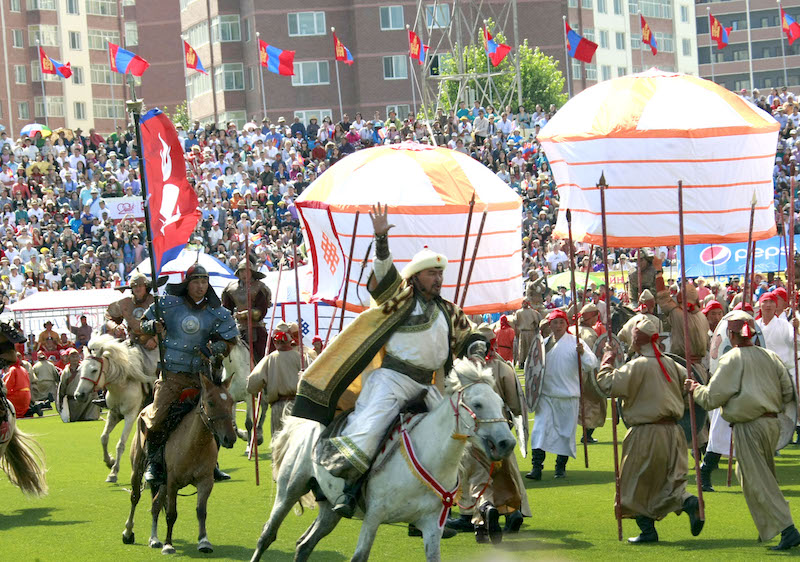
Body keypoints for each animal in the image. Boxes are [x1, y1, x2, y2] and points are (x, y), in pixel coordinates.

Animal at [76, 332, 159, 482]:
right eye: (80, 370)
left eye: (94, 370)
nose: (79, 395)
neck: (122, 383)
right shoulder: (114, 414)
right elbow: (104, 438)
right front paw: (109, 462)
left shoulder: (130, 416)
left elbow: (120, 444)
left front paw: (113, 473)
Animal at [121, 364, 234, 552]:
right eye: (211, 402)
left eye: (231, 402)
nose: (230, 438)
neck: (195, 445)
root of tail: (144, 409)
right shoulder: (173, 482)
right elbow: (171, 514)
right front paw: (168, 545)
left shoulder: (205, 482)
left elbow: (201, 511)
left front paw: (204, 541)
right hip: (137, 469)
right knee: (135, 497)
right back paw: (128, 533)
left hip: (162, 483)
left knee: (155, 504)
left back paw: (154, 539)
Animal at [248, 358, 512, 560]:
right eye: (477, 404)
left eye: (501, 403)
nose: (507, 443)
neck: (430, 457)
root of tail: (305, 426)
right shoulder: (373, 517)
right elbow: (359, 556)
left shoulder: (431, 525)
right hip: (290, 490)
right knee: (267, 535)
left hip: (330, 509)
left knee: (304, 545)